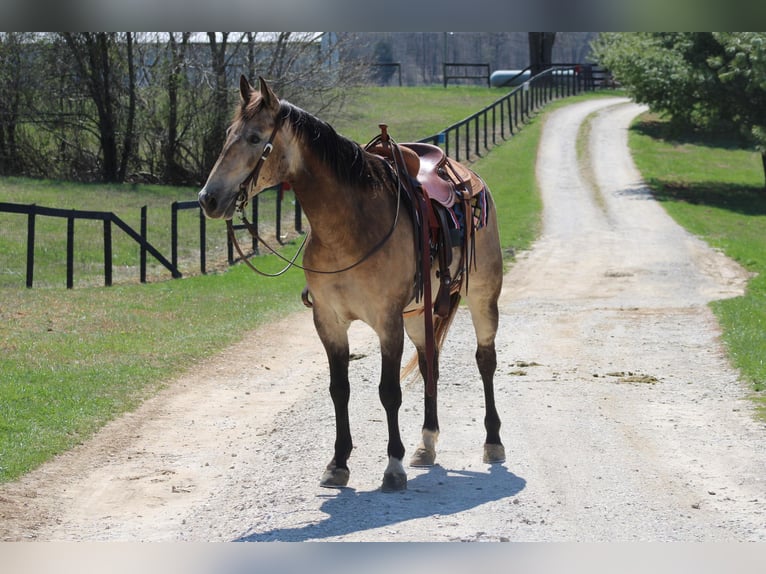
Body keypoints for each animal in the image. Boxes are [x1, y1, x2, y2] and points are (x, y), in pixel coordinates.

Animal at [201, 74, 508, 492]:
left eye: (253, 138)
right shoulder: (329, 321)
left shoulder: (387, 322)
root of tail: (471, 180)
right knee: (430, 364)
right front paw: (338, 462)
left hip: (481, 297)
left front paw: (393, 467)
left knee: (485, 360)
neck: (349, 226)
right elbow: (339, 390)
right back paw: (426, 444)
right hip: (419, 314)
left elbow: (389, 392)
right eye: (228, 135)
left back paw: (493, 442)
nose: (208, 198)